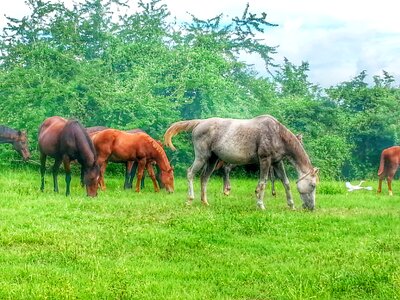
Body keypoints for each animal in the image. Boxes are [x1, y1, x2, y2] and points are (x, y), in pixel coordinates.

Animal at [163, 114, 318, 209]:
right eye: (313, 185)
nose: (311, 207)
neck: (276, 133)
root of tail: (200, 122)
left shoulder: (277, 162)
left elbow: (285, 183)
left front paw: (291, 205)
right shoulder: (265, 160)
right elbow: (263, 182)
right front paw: (260, 204)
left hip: (212, 160)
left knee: (204, 178)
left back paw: (205, 202)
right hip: (202, 157)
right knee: (190, 173)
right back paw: (190, 199)